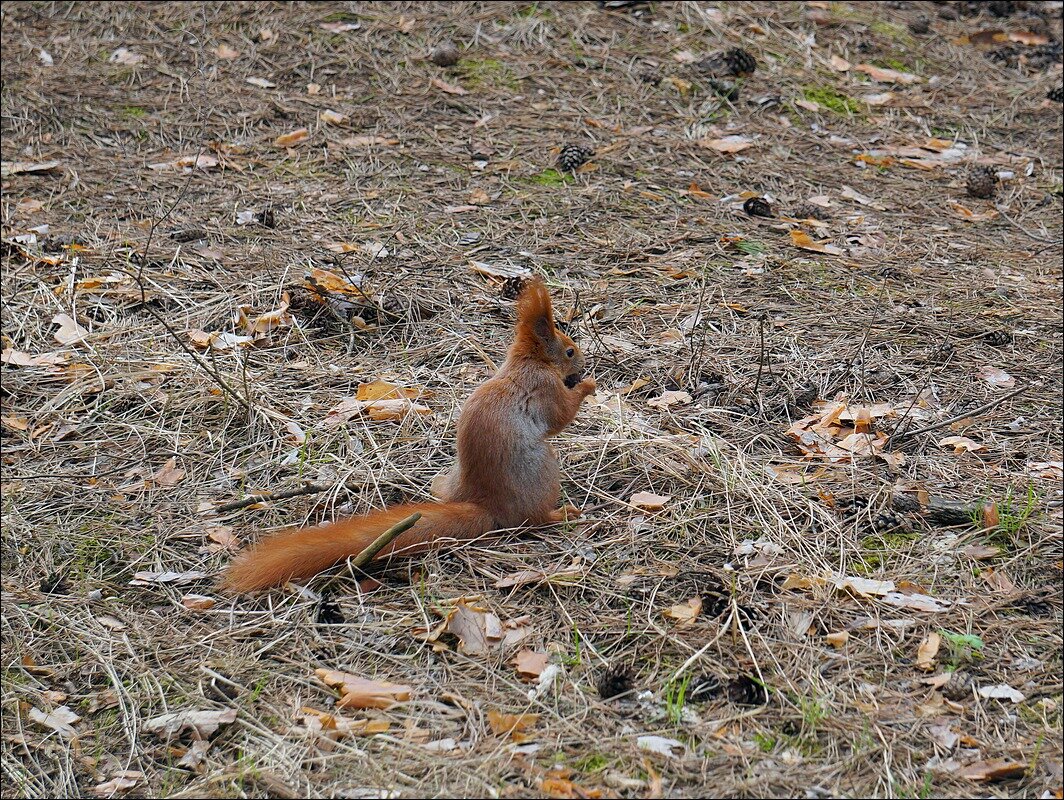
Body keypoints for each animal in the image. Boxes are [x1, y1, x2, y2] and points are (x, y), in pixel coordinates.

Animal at [222, 278, 600, 591]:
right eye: (569, 350)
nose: (583, 362)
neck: (527, 363)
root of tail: (486, 505)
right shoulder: (543, 389)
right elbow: (560, 417)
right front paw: (588, 386)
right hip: (543, 473)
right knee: (532, 522)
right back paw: (563, 514)